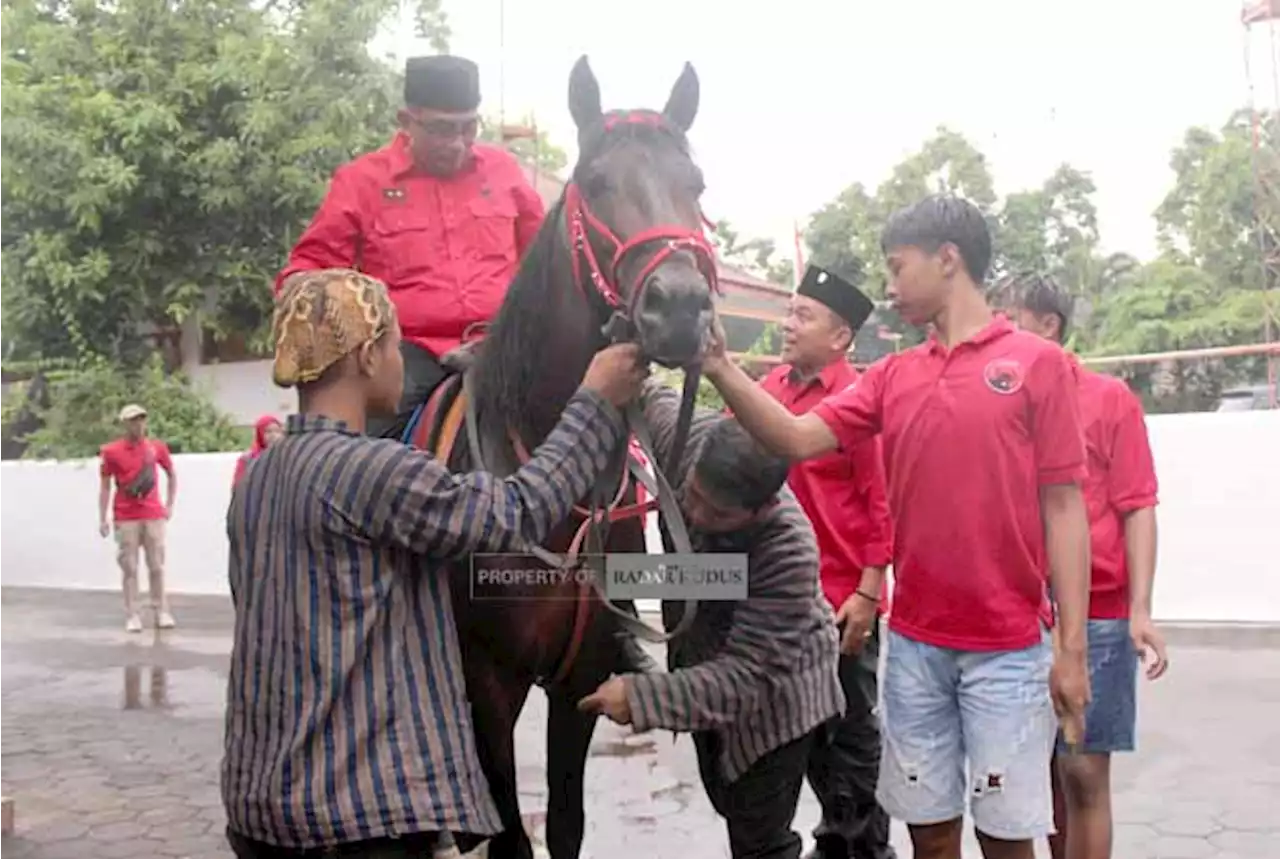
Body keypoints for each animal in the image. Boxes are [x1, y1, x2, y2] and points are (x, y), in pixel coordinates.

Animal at [399, 58, 716, 859]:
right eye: (596, 181)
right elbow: (512, 836)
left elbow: (567, 827)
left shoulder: (581, 681)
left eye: (695, 182)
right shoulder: (489, 684)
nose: (679, 306)